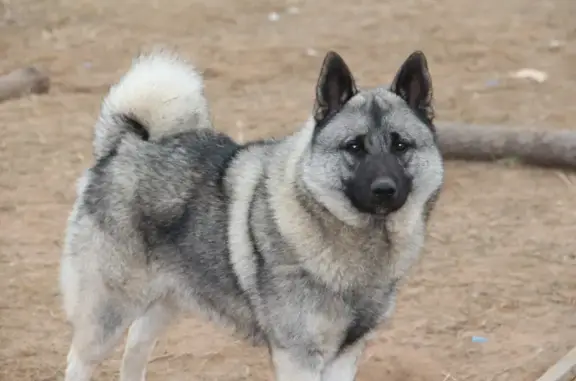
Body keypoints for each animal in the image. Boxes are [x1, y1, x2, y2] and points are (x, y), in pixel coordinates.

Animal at [59, 48, 446, 380]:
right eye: (354, 147)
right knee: (79, 361)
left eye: (401, 145)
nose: (384, 188)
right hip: (107, 315)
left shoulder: (345, 355)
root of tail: (122, 146)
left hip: (163, 305)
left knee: (133, 354)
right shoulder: (298, 357)